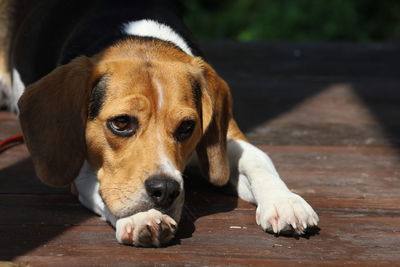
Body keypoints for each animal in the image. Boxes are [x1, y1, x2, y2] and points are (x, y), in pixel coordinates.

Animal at [0, 0, 318, 248]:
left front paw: (285, 201)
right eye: (121, 122)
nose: (165, 190)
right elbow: (103, 188)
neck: (140, 37)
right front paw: (140, 216)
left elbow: (257, 159)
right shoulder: (81, 170)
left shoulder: (228, 135)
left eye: (187, 127)